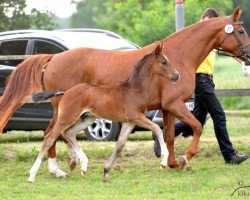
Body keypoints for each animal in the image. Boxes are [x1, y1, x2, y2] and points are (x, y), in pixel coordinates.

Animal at [28, 44, 179, 182]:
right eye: (164, 62)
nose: (177, 75)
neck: (134, 89)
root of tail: (65, 92)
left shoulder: (129, 122)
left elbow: (119, 145)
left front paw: (106, 172)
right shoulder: (135, 116)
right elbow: (157, 128)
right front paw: (163, 161)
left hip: (87, 119)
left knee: (68, 133)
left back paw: (83, 166)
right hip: (67, 117)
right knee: (49, 138)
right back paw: (32, 175)